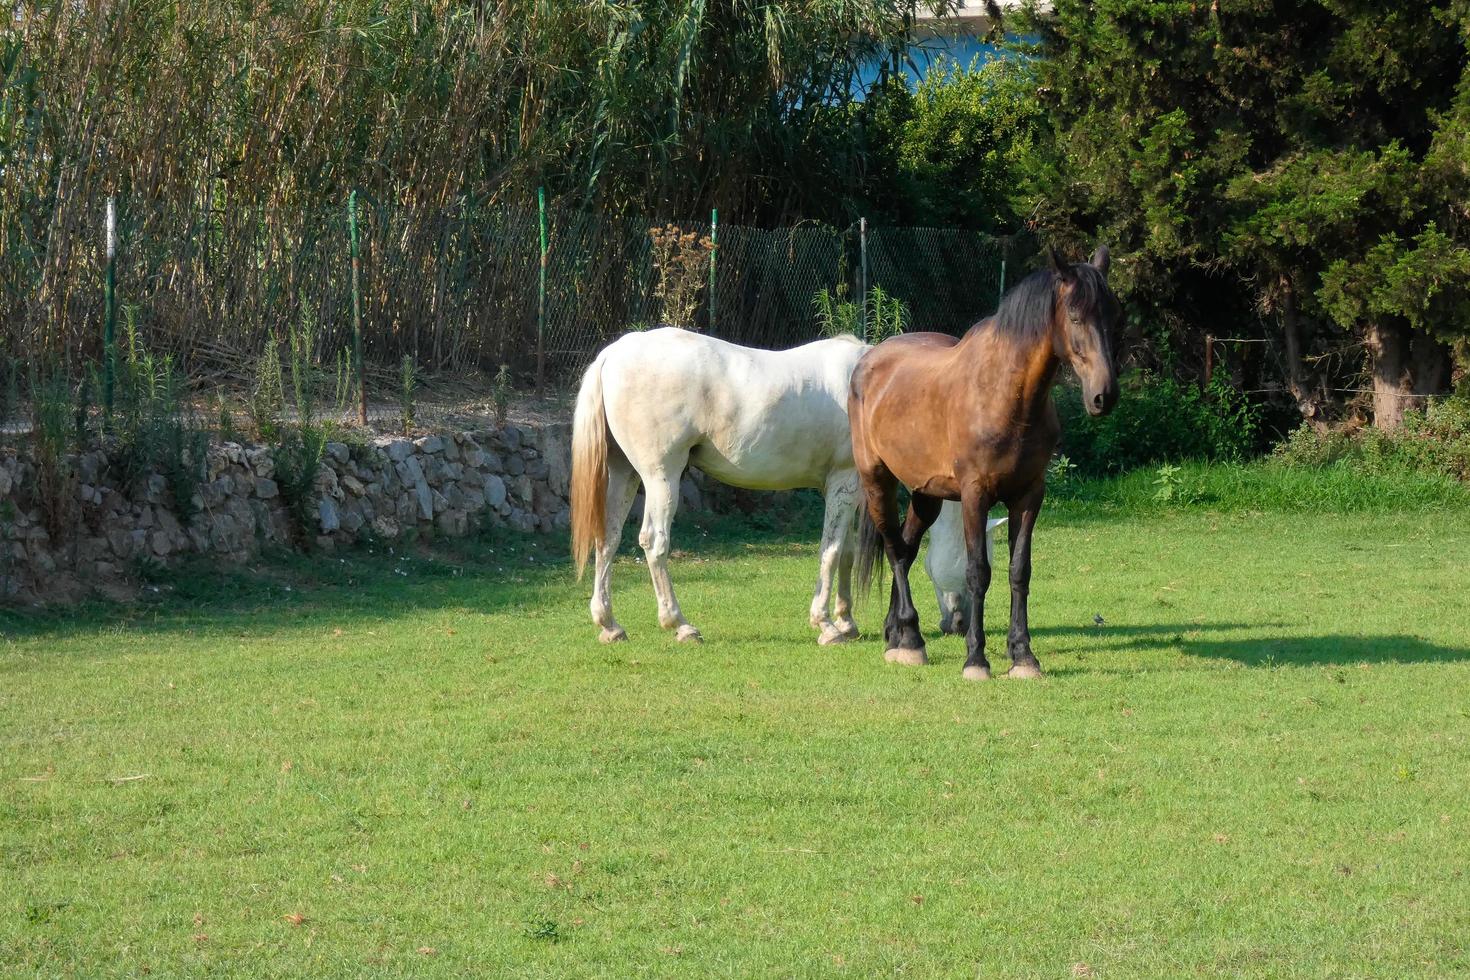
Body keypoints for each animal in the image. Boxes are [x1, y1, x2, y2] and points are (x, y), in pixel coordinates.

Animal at [567, 329, 993, 646]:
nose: (958, 624)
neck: (877, 392)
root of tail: (614, 354)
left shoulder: (853, 490)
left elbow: (847, 552)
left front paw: (847, 621)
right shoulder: (842, 483)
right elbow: (830, 551)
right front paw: (825, 626)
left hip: (625, 474)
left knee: (608, 540)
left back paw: (609, 625)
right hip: (661, 477)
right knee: (654, 543)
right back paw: (680, 624)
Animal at [852, 243, 1111, 681]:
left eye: (1116, 316)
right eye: (1076, 316)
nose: (1103, 396)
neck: (1006, 395)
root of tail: (869, 360)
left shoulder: (1029, 495)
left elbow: (1019, 571)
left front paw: (1023, 655)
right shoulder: (975, 495)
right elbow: (978, 573)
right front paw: (976, 658)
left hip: (926, 495)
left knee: (906, 546)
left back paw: (897, 635)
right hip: (877, 481)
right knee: (895, 550)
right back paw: (912, 640)